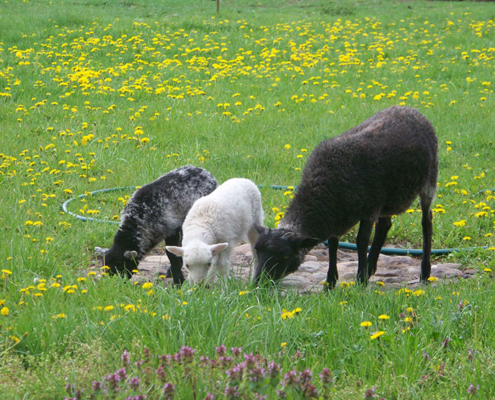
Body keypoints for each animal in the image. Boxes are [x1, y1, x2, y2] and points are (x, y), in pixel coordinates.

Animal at [254, 106, 440, 288]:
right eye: (256, 249)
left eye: (285, 255)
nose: (257, 282)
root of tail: (411, 109)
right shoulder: (335, 216)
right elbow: (333, 244)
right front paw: (330, 282)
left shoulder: (369, 210)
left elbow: (361, 241)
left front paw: (360, 281)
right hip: (387, 199)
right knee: (385, 225)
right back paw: (371, 268)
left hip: (429, 180)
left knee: (426, 221)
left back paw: (424, 273)